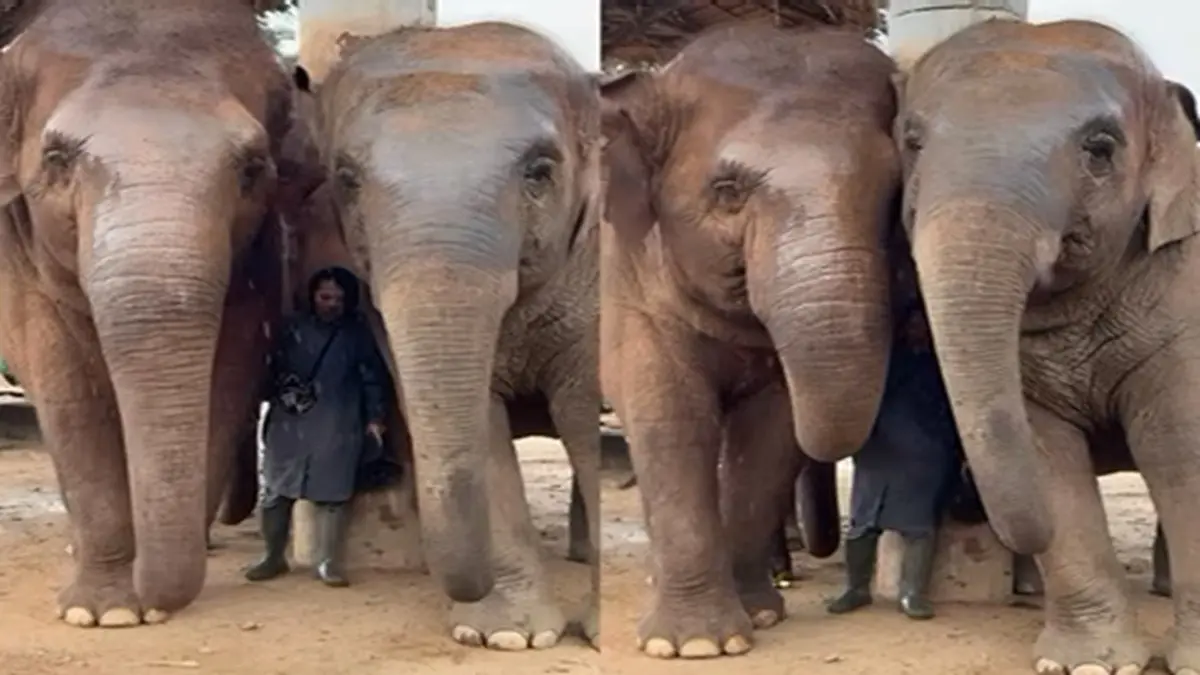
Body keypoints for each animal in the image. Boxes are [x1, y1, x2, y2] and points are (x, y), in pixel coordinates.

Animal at [0, 0, 322, 627]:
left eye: (252, 168)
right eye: (56, 159)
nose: (150, 601)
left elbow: (230, 374)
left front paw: (143, 599)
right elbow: (65, 386)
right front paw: (104, 613)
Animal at [303, 22, 601, 650]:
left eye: (541, 171)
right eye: (346, 179)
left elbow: (581, 409)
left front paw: (591, 631)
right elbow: (481, 423)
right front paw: (506, 638)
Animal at [600, 24, 900, 658]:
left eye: (894, 193)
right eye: (728, 190)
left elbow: (770, 430)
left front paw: (759, 617)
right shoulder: (625, 274)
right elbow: (670, 413)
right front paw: (693, 646)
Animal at [893, 18, 1200, 674]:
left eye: (1101, 148)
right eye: (912, 141)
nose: (965, 501)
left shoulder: (1183, 301)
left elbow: (1179, 448)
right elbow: (1048, 452)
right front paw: (1090, 664)